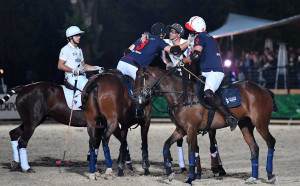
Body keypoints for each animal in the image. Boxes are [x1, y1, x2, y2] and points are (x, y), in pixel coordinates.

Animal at [0, 81, 130, 173]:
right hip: (32, 122)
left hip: (33, 121)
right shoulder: (110, 124)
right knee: (22, 141)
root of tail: (24, 87)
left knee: (14, 133)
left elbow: (98, 144)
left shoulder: (101, 126)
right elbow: (122, 141)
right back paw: (26, 168)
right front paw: (126, 163)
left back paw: (15, 163)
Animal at [135, 64, 278, 185]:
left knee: (271, 141)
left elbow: (191, 152)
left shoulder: (191, 129)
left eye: (140, 78)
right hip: (245, 126)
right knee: (254, 148)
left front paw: (190, 178)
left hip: (261, 124)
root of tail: (264, 89)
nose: (137, 98)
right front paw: (170, 173)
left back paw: (270, 175)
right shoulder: (180, 130)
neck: (182, 97)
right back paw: (253, 177)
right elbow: (166, 145)